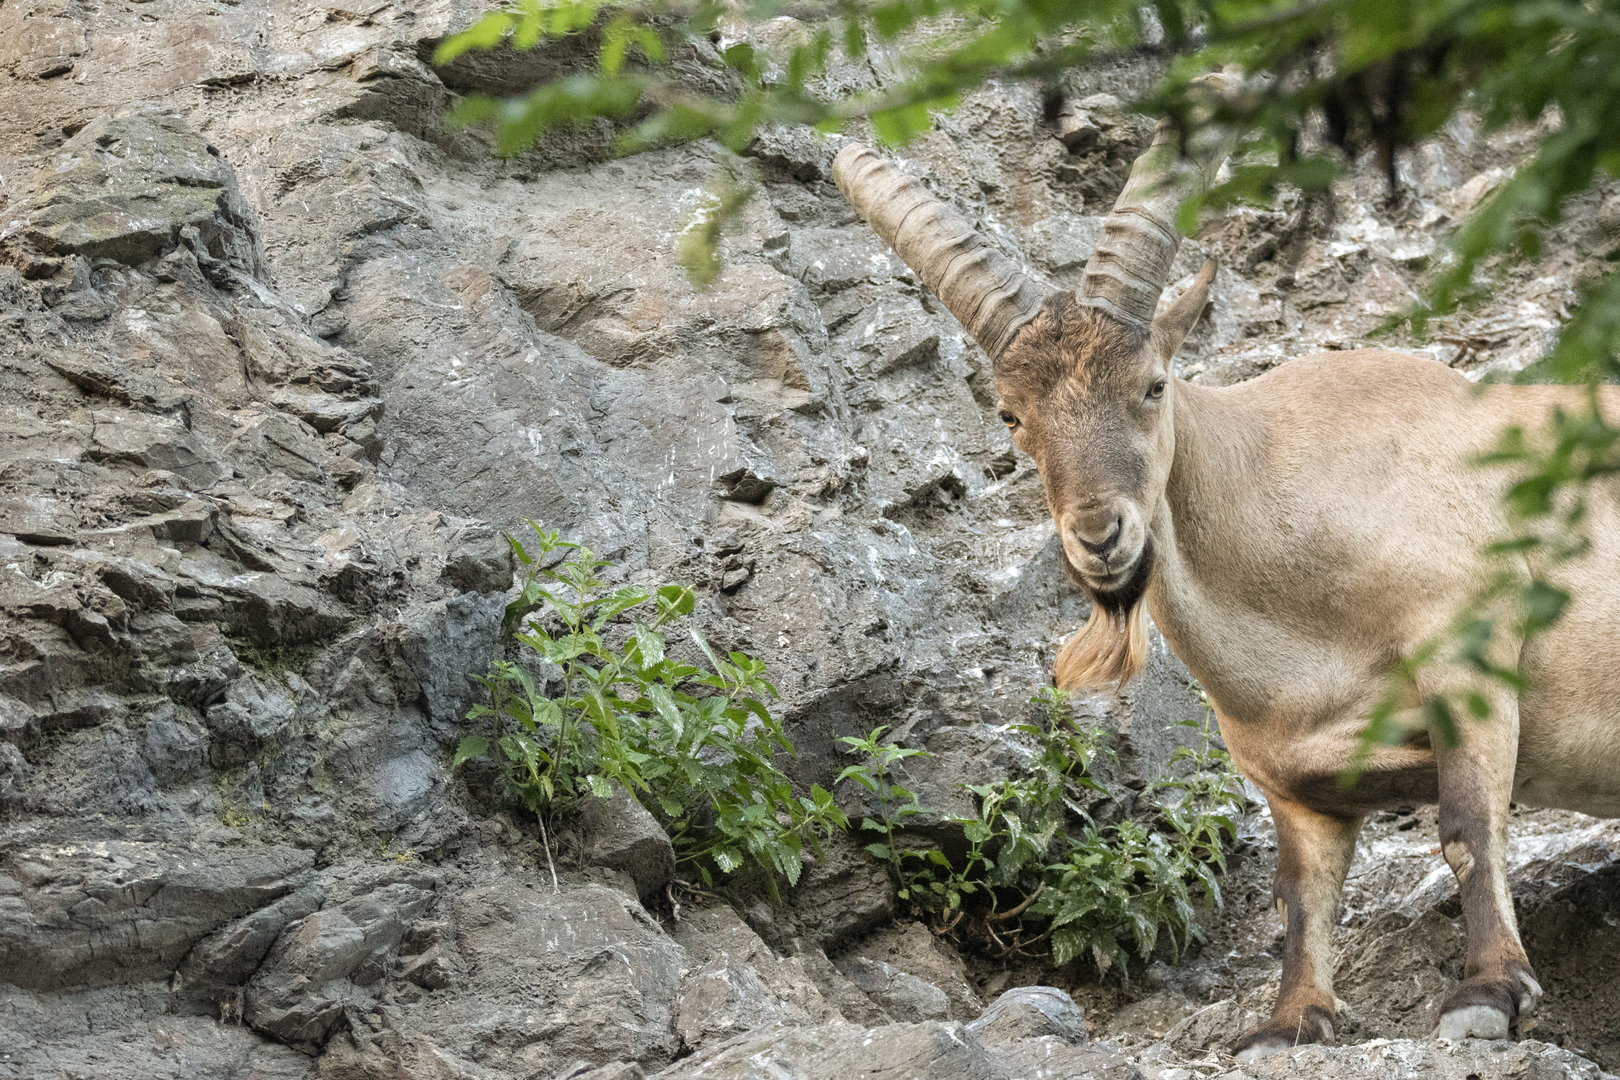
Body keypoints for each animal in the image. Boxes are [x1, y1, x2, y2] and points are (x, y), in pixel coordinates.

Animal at [832, 105, 1620, 1060]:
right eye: (1014, 415)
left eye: (1152, 385)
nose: (1099, 537)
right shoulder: (1290, 774)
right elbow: (1301, 896)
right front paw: (1288, 1024)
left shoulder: (1469, 656)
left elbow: (1470, 826)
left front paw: (1488, 994)